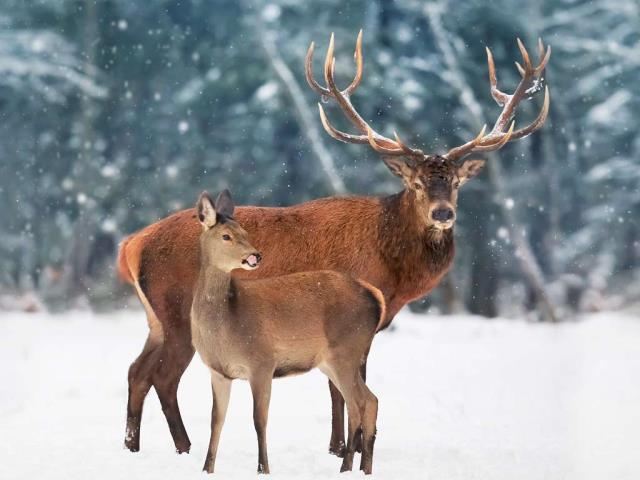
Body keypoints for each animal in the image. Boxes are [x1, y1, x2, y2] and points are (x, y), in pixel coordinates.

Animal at [190, 189, 382, 474]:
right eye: (226, 236)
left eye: (245, 231)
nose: (256, 256)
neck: (225, 327)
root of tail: (376, 296)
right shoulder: (219, 371)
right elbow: (217, 420)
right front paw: (206, 469)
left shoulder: (262, 362)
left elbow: (259, 419)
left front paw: (263, 469)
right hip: (332, 361)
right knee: (369, 401)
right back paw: (362, 469)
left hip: (346, 351)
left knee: (358, 405)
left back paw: (347, 467)